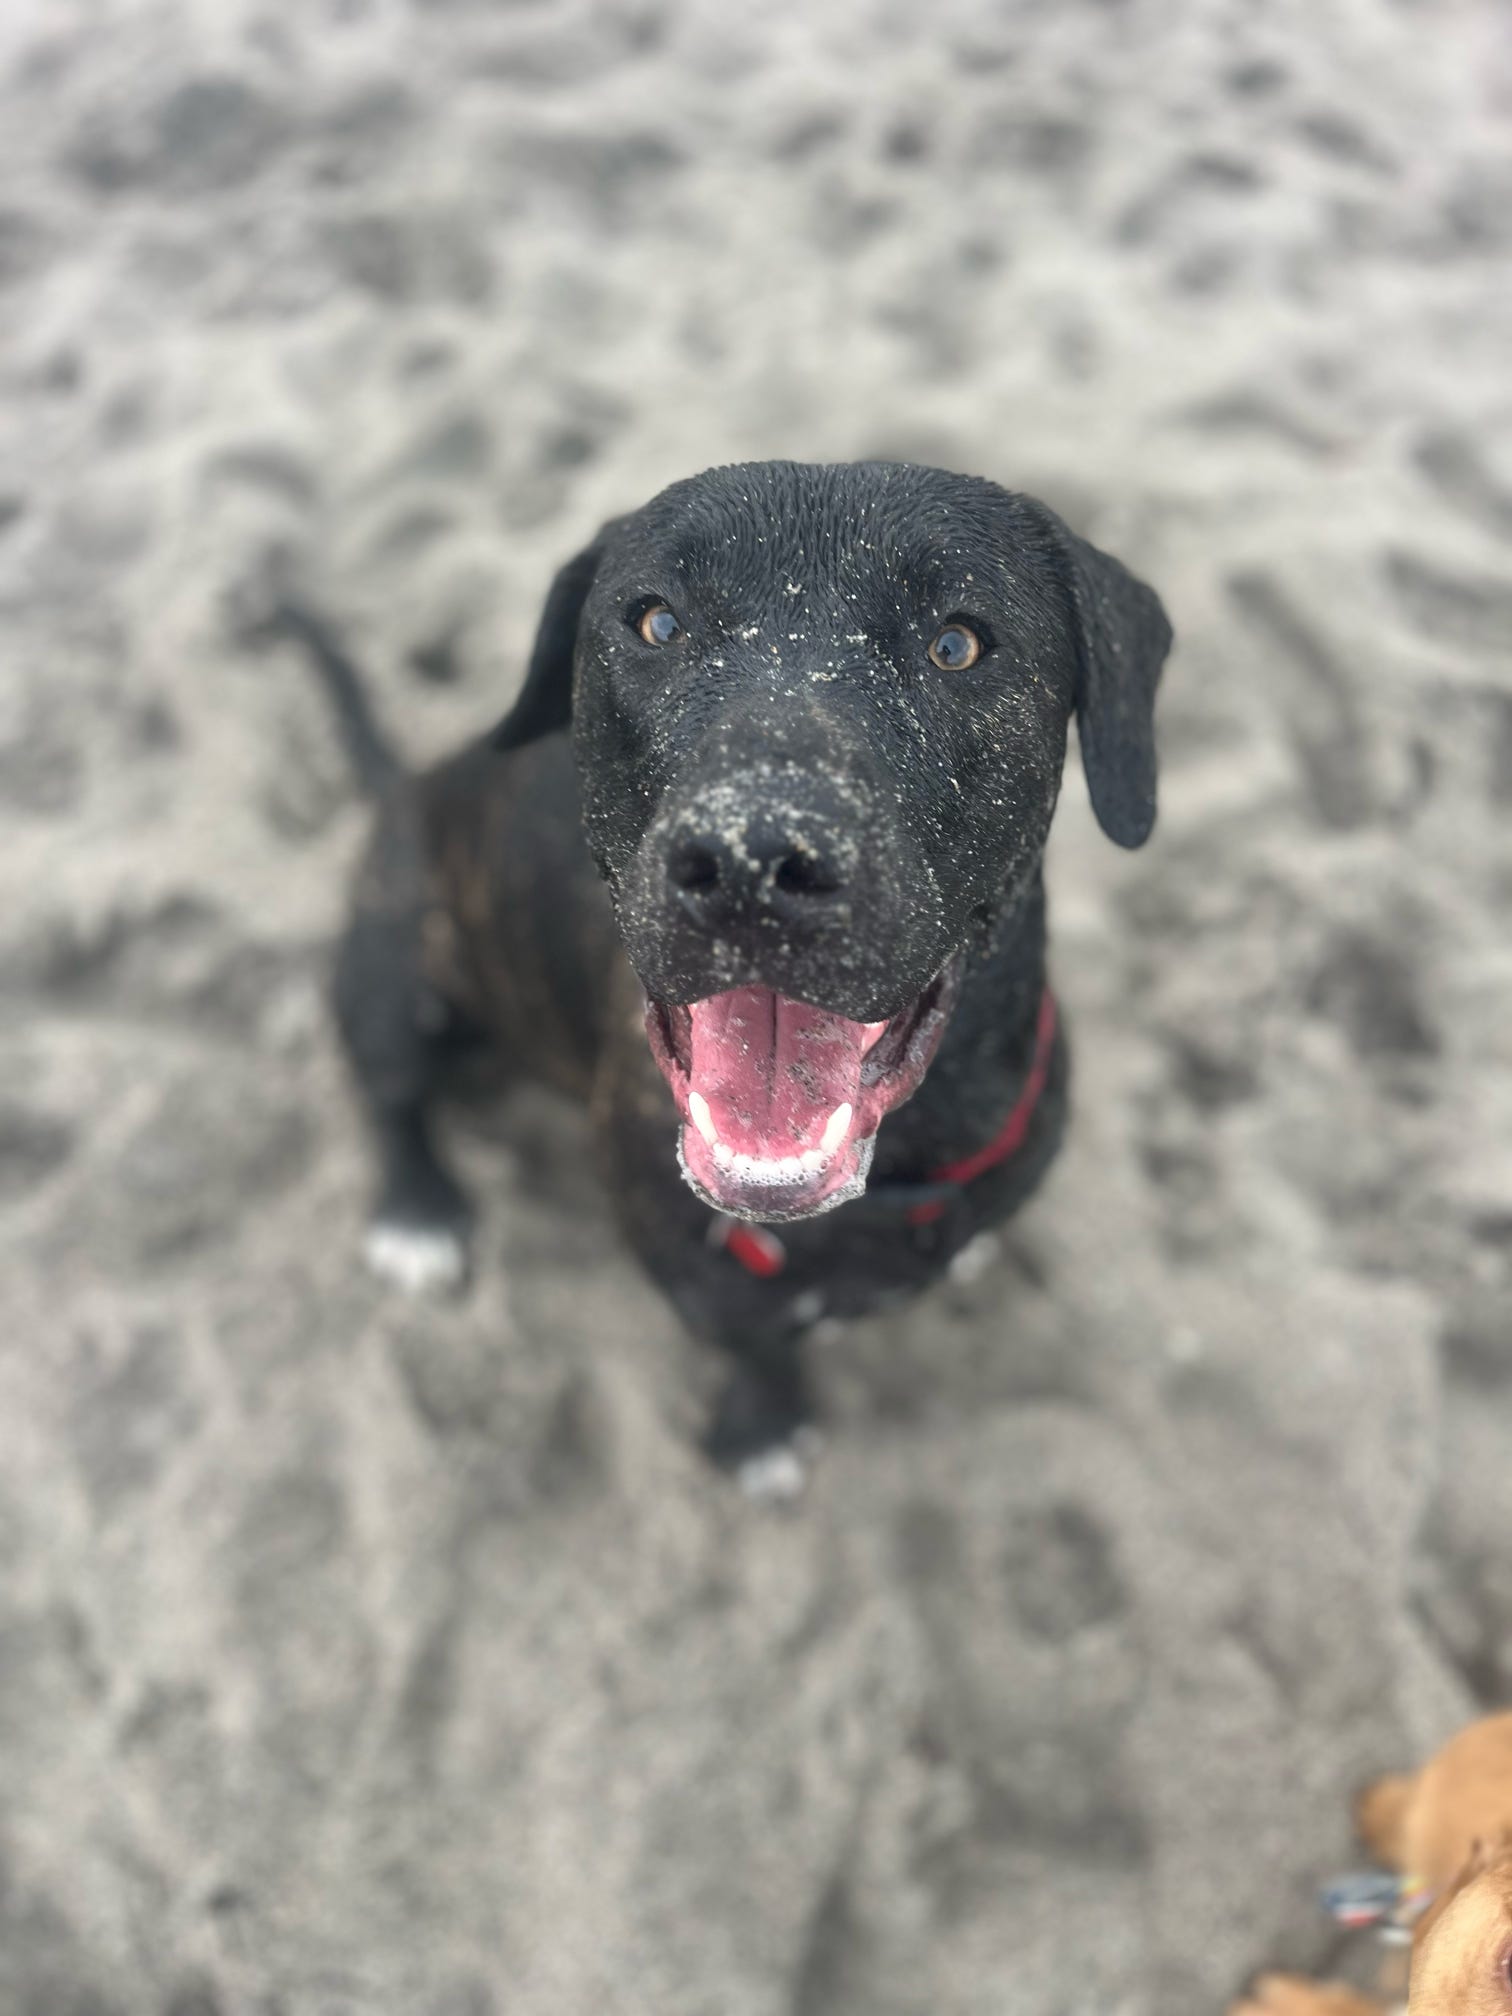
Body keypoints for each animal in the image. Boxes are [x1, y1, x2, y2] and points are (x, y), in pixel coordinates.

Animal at [265, 460, 1171, 1482]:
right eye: (656, 623)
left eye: (958, 642)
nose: (751, 858)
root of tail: (406, 788)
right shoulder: (697, 1277)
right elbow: (755, 1345)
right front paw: (762, 1431)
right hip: (392, 976)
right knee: (390, 1094)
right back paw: (416, 1213)